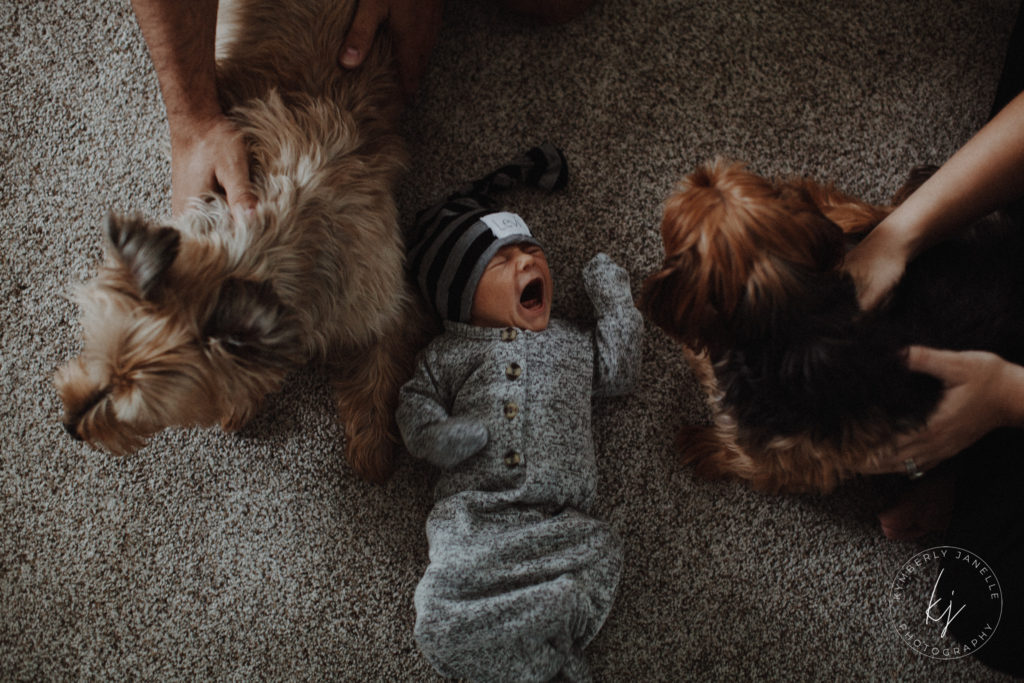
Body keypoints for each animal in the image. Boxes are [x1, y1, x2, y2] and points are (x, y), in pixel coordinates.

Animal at [50, 0, 419, 483]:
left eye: (132, 409)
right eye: (94, 352)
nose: (70, 426)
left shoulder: (382, 303)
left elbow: (379, 369)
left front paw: (373, 445)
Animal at [638, 160, 1024, 491]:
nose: (702, 174)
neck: (792, 310)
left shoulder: (796, 457)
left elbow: (745, 458)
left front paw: (702, 443)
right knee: (882, 214)